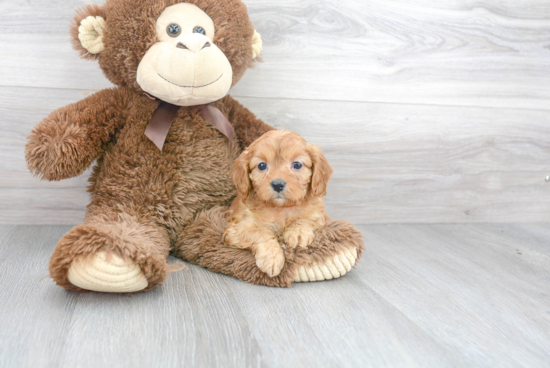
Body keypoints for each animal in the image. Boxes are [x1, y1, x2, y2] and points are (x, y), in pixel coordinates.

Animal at [223, 129, 334, 276]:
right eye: (262, 165)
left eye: (297, 165)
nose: (277, 184)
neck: (281, 208)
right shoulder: (237, 228)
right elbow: (261, 231)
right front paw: (272, 258)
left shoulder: (320, 216)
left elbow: (306, 219)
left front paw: (298, 232)